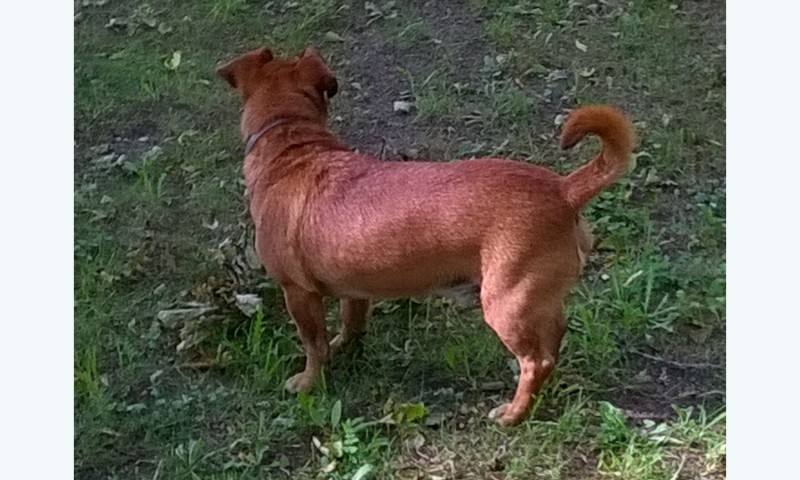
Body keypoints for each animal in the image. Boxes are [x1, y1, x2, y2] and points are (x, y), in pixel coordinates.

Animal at [217, 47, 634, 426]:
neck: (292, 143)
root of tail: (563, 190)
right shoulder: (355, 290)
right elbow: (351, 325)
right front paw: (343, 350)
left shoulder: (298, 294)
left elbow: (313, 344)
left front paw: (308, 382)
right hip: (536, 301)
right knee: (554, 340)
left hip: (505, 305)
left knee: (536, 361)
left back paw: (513, 414)